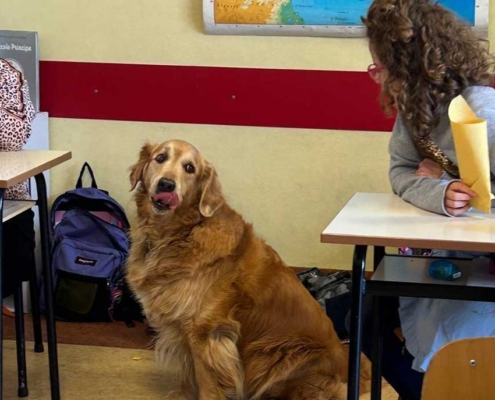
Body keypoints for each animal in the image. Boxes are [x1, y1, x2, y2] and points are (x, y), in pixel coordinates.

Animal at [126, 139, 358, 398]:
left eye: (189, 168)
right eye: (160, 158)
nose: (166, 184)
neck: (179, 233)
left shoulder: (206, 332)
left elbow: (207, 383)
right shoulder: (182, 331)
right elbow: (189, 375)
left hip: (278, 355)